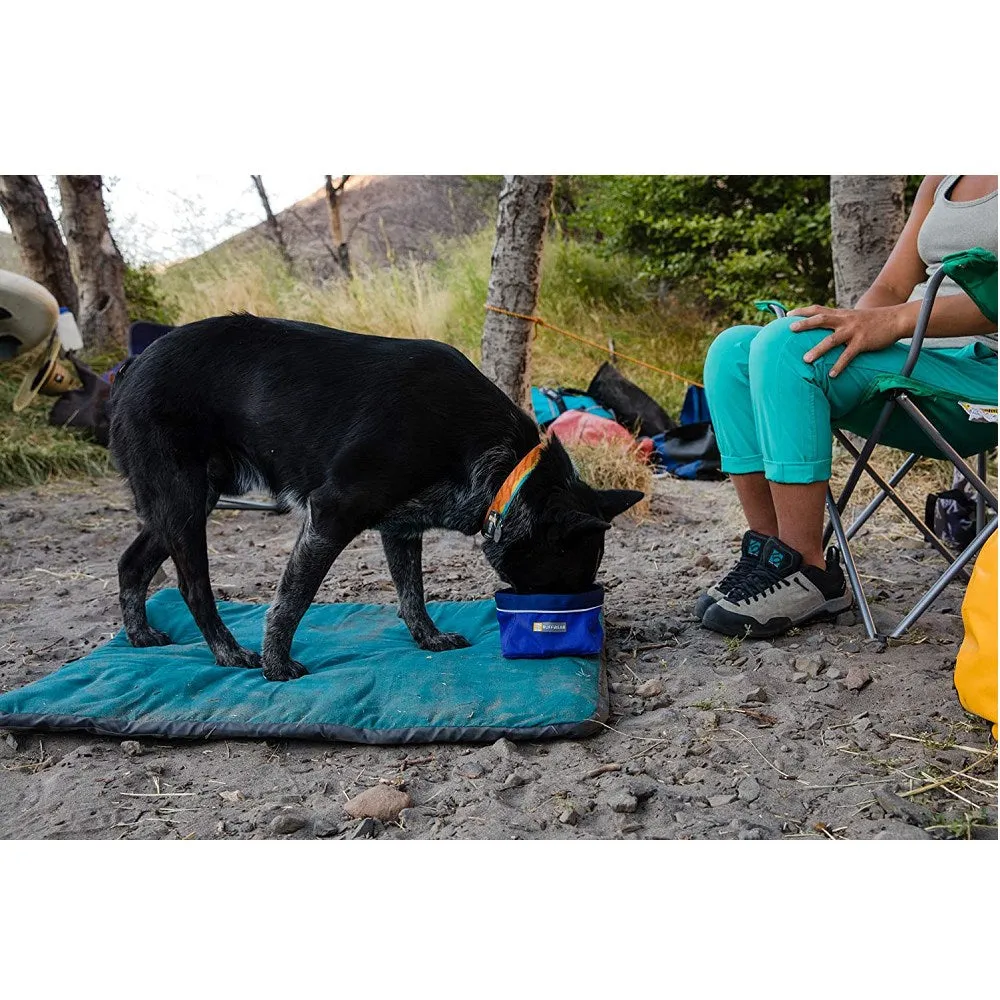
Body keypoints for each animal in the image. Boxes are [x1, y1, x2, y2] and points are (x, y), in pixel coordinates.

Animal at [109, 316, 640, 684]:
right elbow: (292, 600)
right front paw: (276, 664)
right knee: (193, 587)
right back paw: (228, 652)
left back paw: (139, 635)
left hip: (190, 500)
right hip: (183, 500)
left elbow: (412, 593)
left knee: (131, 563)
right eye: (565, 584)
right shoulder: (331, 512)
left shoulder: (401, 527)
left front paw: (428, 638)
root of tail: (131, 365)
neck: (505, 464)